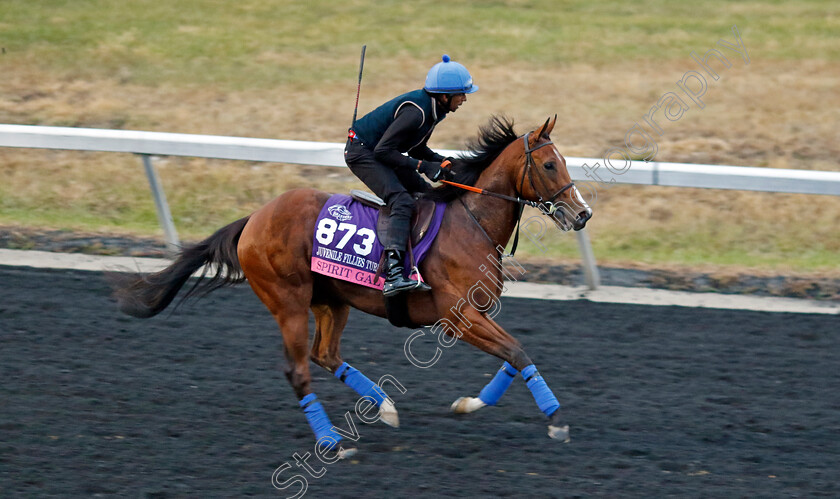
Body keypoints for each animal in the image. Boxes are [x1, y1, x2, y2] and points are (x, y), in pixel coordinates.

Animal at [110, 115, 592, 458]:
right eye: (550, 164)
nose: (582, 214)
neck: (471, 223)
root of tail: (253, 219)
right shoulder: (458, 317)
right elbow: (517, 351)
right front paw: (556, 420)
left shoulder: (478, 313)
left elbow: (513, 355)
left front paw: (468, 405)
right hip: (287, 301)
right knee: (299, 369)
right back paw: (332, 442)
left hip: (330, 300)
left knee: (325, 354)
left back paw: (384, 406)